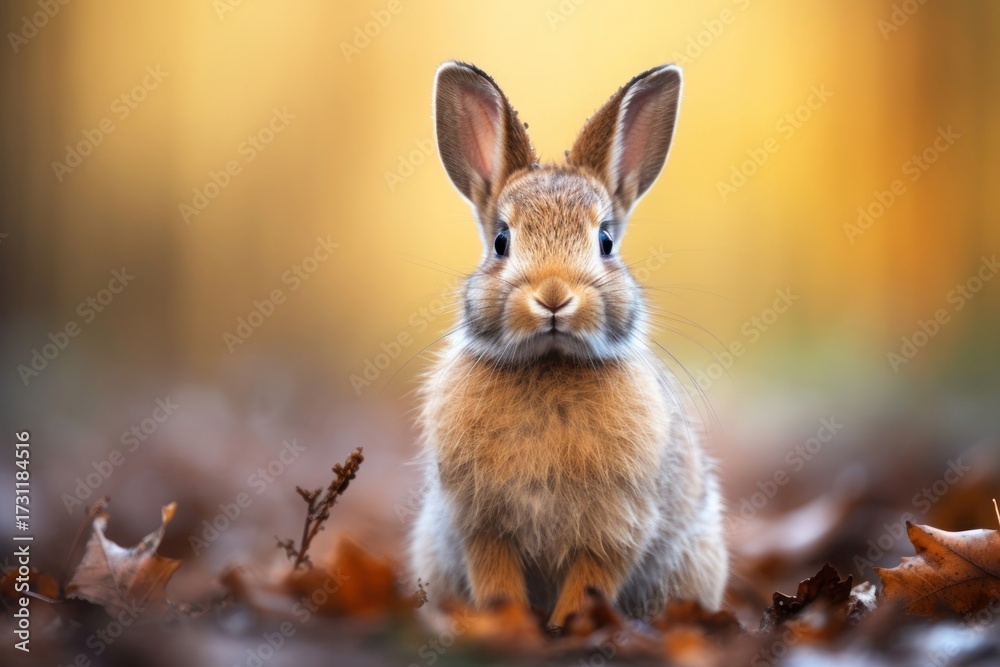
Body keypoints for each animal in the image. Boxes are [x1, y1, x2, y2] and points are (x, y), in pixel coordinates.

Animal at [410, 61, 728, 630]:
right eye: (501, 241)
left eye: (605, 241)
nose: (554, 296)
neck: (549, 363)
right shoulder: (482, 526)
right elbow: (496, 577)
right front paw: (508, 623)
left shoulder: (616, 528)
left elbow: (589, 583)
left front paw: (566, 629)